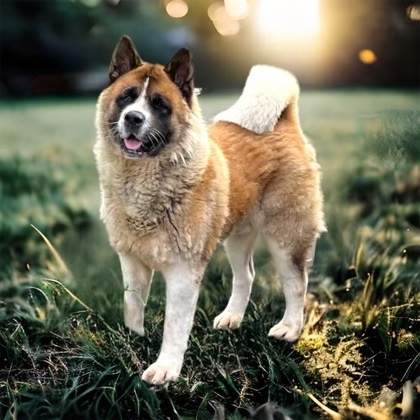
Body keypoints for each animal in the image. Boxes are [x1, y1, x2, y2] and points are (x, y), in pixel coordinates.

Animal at [94, 36, 324, 384]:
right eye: (127, 97)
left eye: (160, 105)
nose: (133, 118)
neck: (147, 179)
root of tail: (285, 122)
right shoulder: (132, 260)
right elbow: (132, 305)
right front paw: (134, 339)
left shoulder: (183, 272)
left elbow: (174, 326)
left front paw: (166, 368)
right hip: (237, 238)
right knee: (246, 276)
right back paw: (232, 318)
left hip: (287, 238)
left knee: (297, 284)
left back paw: (290, 329)